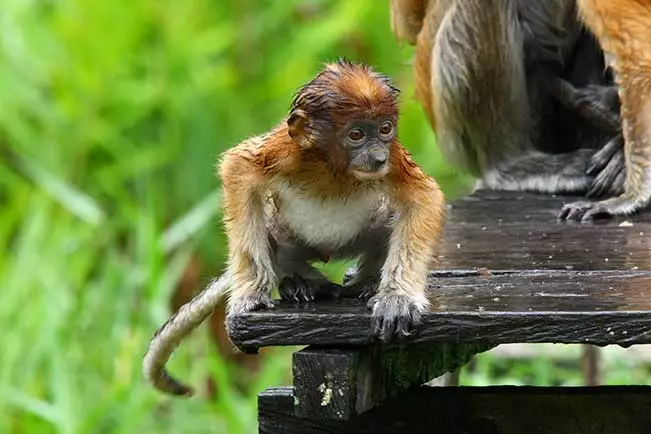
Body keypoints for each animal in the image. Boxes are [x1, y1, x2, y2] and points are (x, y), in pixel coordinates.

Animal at [142, 59, 446, 396]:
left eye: (385, 129)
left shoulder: (394, 157)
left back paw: (365, 281)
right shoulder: (284, 149)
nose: (378, 156)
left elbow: (423, 196)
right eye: (356, 134)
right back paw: (301, 283)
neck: (333, 171)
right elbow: (238, 169)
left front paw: (398, 300)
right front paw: (250, 296)